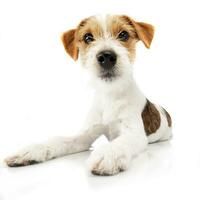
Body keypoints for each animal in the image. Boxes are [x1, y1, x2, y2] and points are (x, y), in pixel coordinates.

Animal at [5, 14, 173, 175]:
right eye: (88, 37)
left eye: (124, 34)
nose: (106, 57)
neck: (109, 94)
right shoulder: (86, 135)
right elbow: (61, 140)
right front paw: (31, 150)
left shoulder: (134, 133)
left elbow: (121, 142)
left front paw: (108, 154)